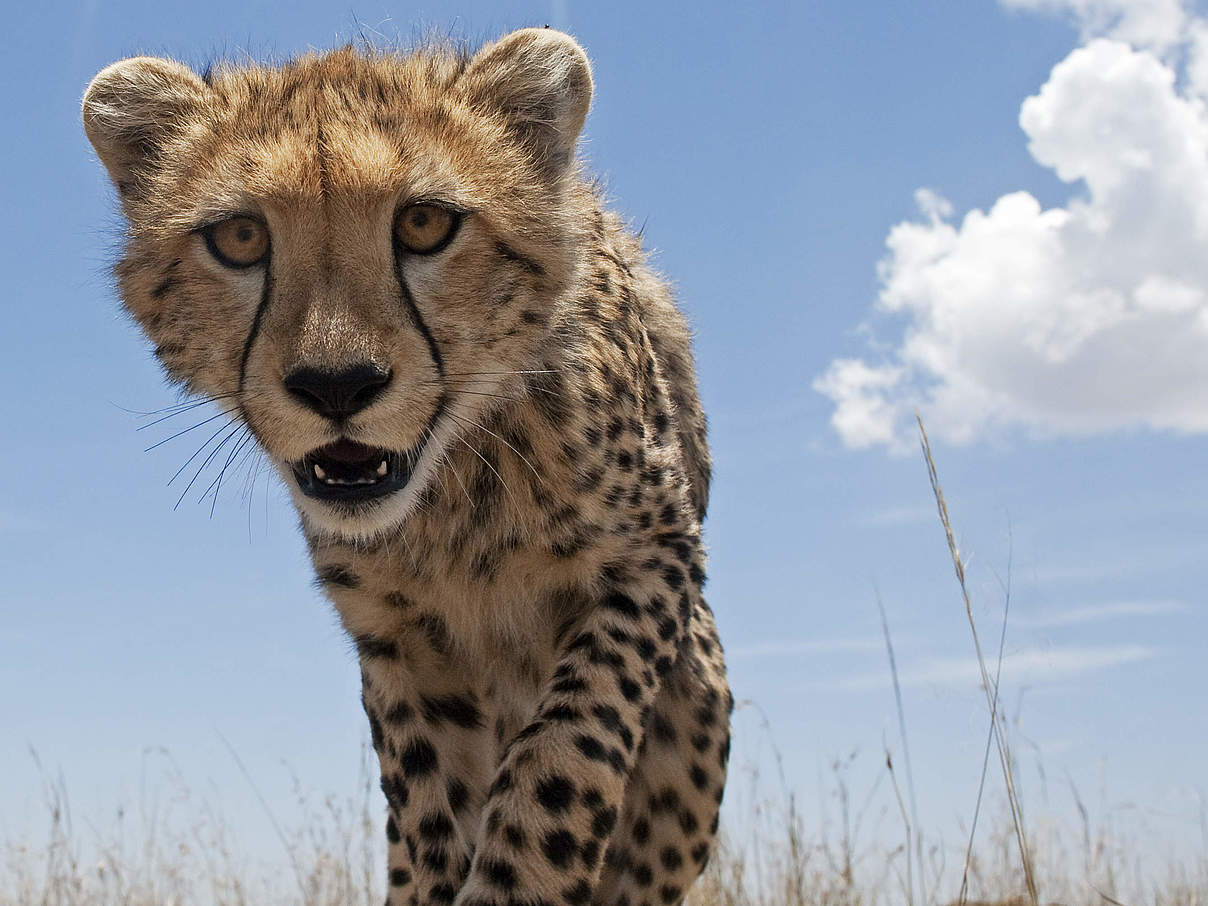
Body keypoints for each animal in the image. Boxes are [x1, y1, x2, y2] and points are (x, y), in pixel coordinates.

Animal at [82, 28, 724, 906]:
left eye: (424, 224)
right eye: (240, 239)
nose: (336, 386)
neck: (452, 493)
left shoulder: (654, 556)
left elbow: (566, 748)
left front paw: (521, 876)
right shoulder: (397, 638)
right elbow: (430, 804)